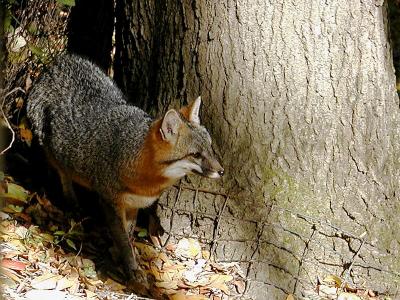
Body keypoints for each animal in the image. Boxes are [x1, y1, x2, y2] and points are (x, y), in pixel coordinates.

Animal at [26, 54, 223, 286]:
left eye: (210, 148)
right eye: (196, 155)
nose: (222, 171)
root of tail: (62, 59)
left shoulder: (134, 205)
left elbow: (128, 237)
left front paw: (122, 258)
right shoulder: (110, 203)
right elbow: (123, 240)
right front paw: (132, 270)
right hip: (50, 147)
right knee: (60, 171)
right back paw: (71, 201)